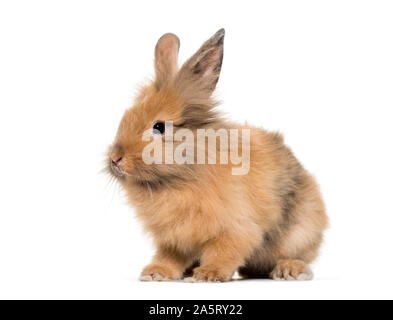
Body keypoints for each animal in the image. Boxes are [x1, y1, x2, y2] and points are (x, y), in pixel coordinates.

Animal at [106, 28, 328, 282]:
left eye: (159, 127)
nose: (115, 158)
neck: (179, 179)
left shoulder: (235, 228)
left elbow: (224, 251)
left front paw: (208, 274)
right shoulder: (174, 238)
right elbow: (169, 256)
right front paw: (155, 273)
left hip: (300, 232)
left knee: (298, 256)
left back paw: (289, 270)